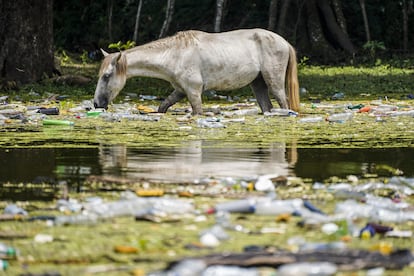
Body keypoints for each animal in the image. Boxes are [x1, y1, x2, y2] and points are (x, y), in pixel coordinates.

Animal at [94, 28, 300, 114]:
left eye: (107, 76)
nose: (96, 104)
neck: (175, 54)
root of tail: (284, 42)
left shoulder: (193, 92)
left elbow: (197, 112)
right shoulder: (179, 90)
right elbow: (162, 107)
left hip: (274, 82)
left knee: (284, 103)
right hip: (258, 84)